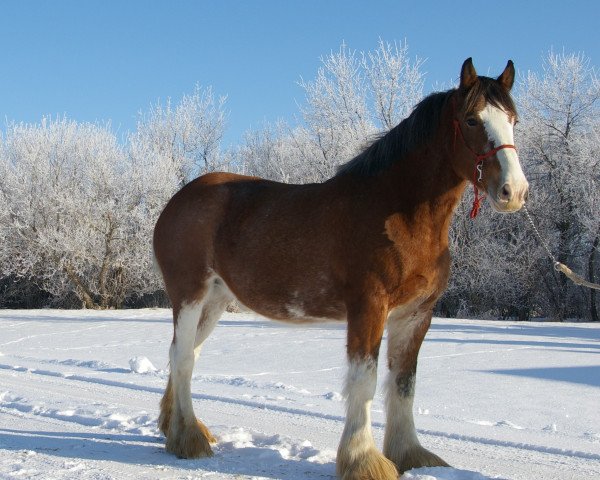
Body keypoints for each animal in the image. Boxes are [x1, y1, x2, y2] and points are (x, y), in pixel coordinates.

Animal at [154, 59, 528, 480]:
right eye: (471, 120)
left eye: (513, 120)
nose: (514, 191)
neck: (400, 214)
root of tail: (177, 200)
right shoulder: (369, 307)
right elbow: (364, 381)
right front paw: (363, 460)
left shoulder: (416, 315)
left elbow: (404, 384)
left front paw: (409, 454)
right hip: (189, 295)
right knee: (183, 358)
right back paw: (188, 439)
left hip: (215, 301)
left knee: (185, 353)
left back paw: (178, 428)